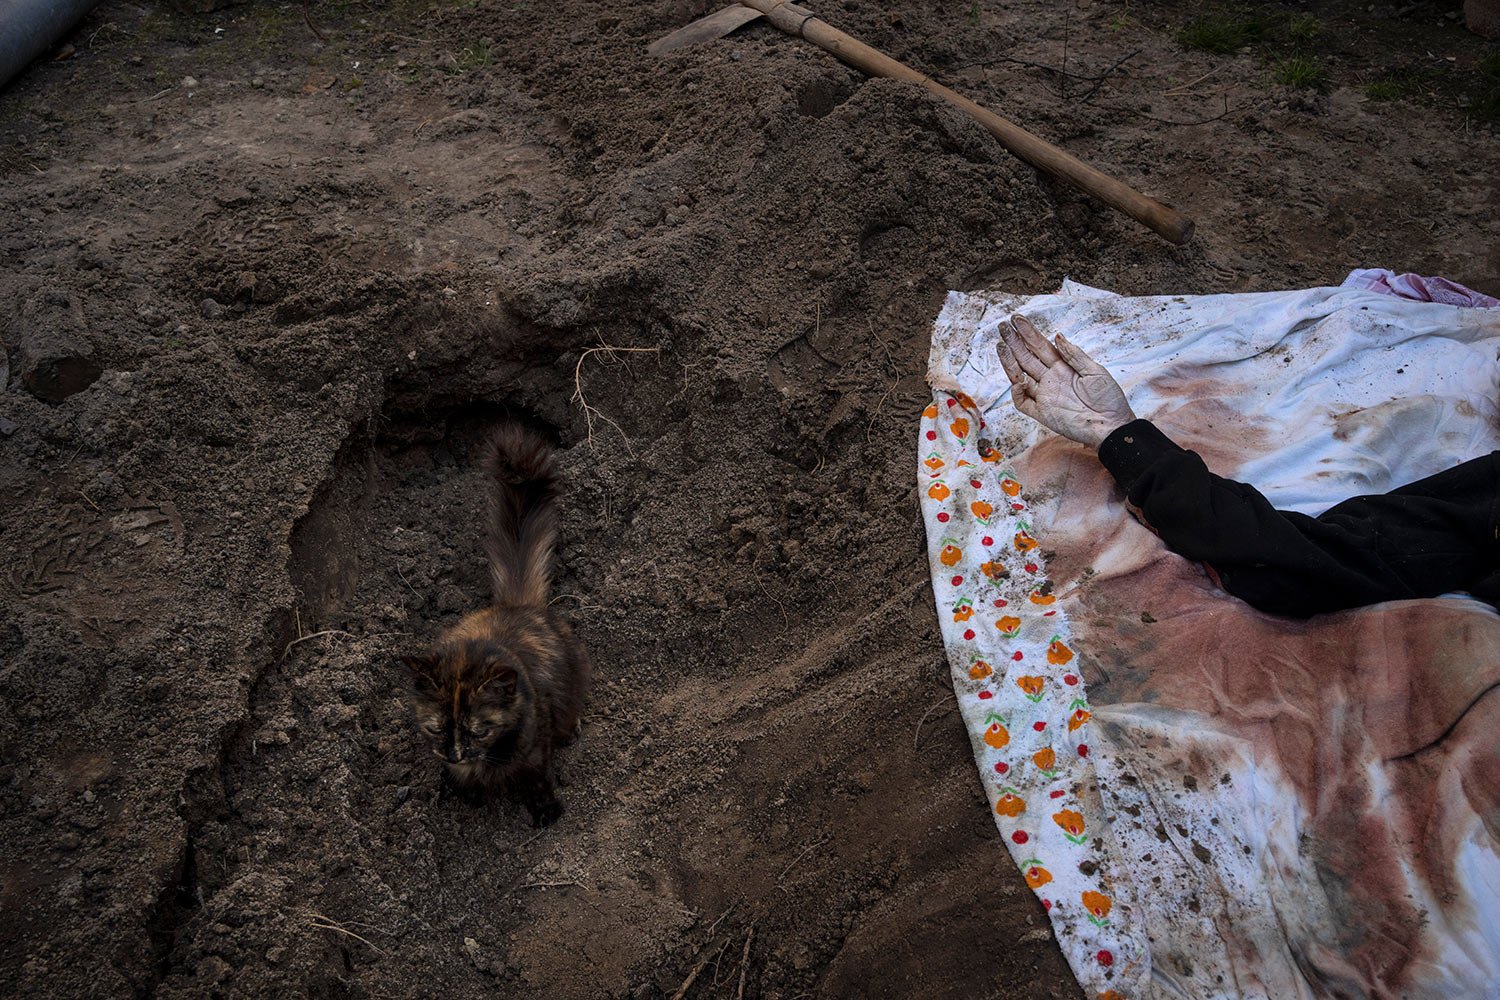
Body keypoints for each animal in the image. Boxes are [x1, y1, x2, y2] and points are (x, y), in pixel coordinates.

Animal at [405, 425, 591, 827]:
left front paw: (546, 813)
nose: (455, 754)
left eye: (479, 731)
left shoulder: (535, 748)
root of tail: (517, 603)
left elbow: (537, 781)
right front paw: (469, 794)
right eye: (436, 727)